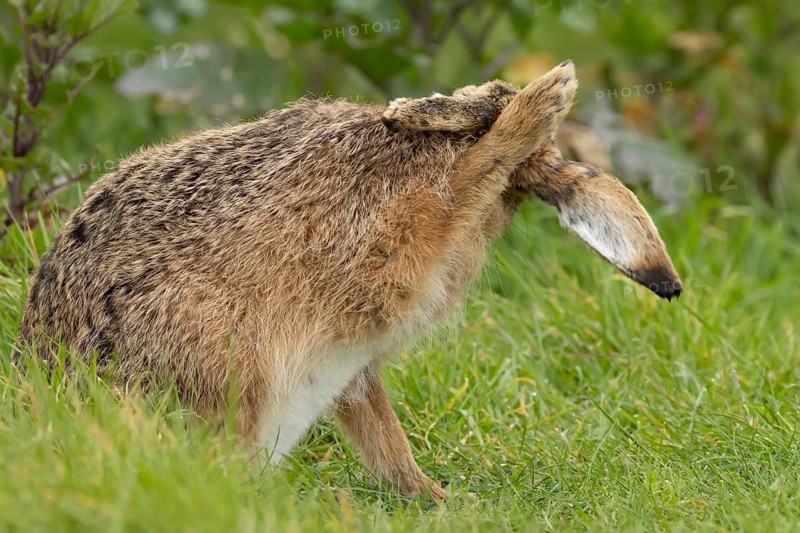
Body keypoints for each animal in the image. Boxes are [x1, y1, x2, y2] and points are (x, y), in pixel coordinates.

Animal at [18, 61, 680, 500]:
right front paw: (548, 96)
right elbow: (479, 166)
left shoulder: (355, 355)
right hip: (219, 360)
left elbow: (382, 431)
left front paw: (438, 500)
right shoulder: (397, 240)